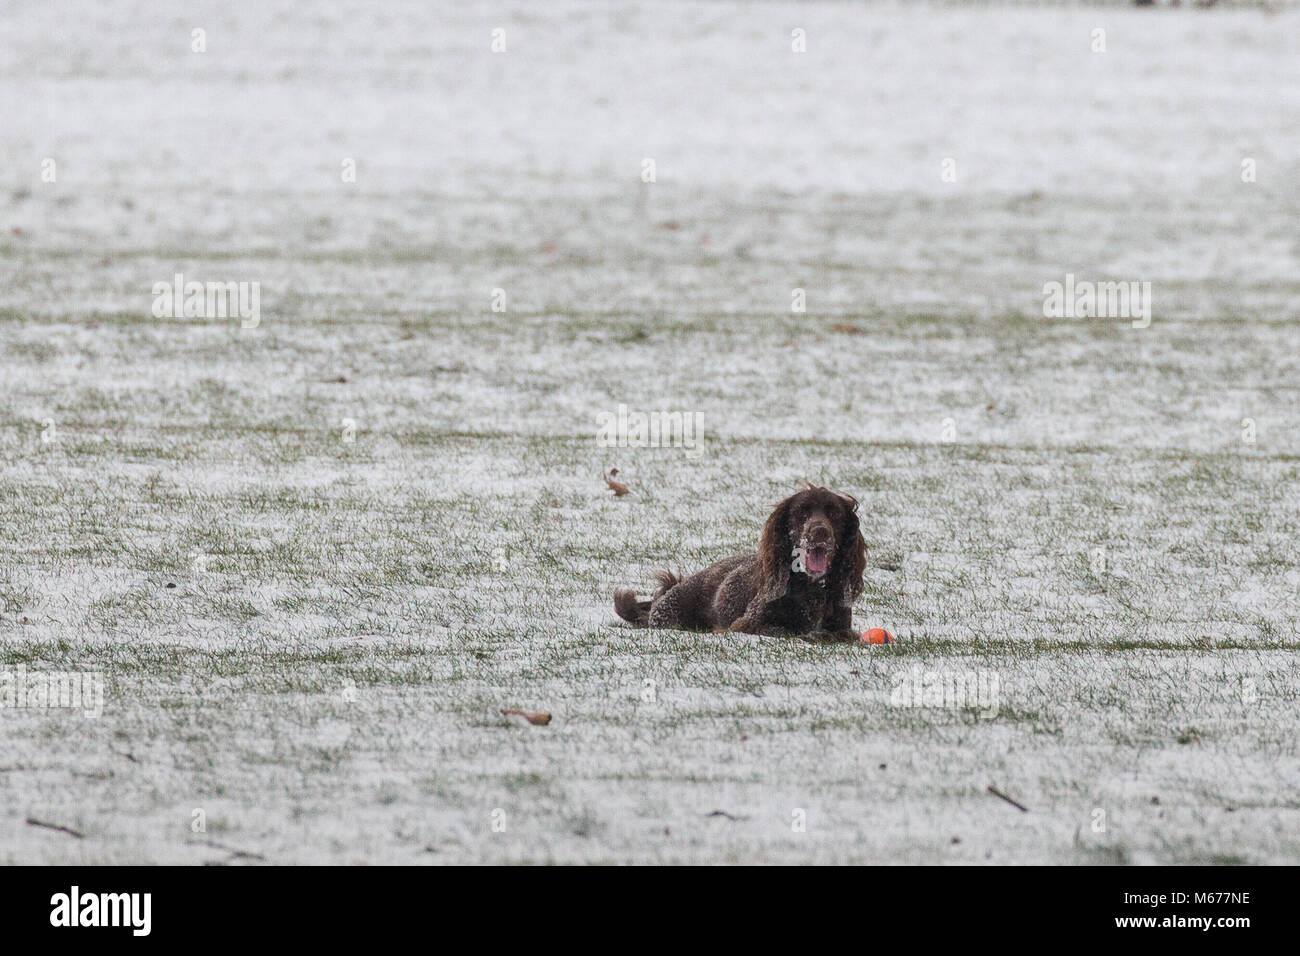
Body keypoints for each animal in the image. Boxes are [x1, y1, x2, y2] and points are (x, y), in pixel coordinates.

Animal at [616, 486, 868, 642]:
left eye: (835, 514)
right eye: (801, 512)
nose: (819, 532)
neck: (812, 587)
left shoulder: (843, 626)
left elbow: (844, 634)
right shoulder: (746, 624)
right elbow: (783, 630)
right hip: (668, 616)